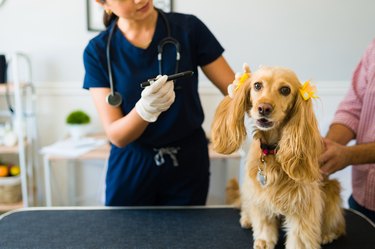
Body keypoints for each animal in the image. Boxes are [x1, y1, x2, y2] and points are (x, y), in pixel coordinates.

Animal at [212, 65, 346, 249]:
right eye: (257, 85)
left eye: (285, 90)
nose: (264, 108)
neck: (271, 151)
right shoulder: (260, 192)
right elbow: (264, 221)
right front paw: (264, 240)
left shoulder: (303, 201)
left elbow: (300, 235)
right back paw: (247, 218)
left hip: (332, 190)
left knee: (337, 223)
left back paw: (327, 234)